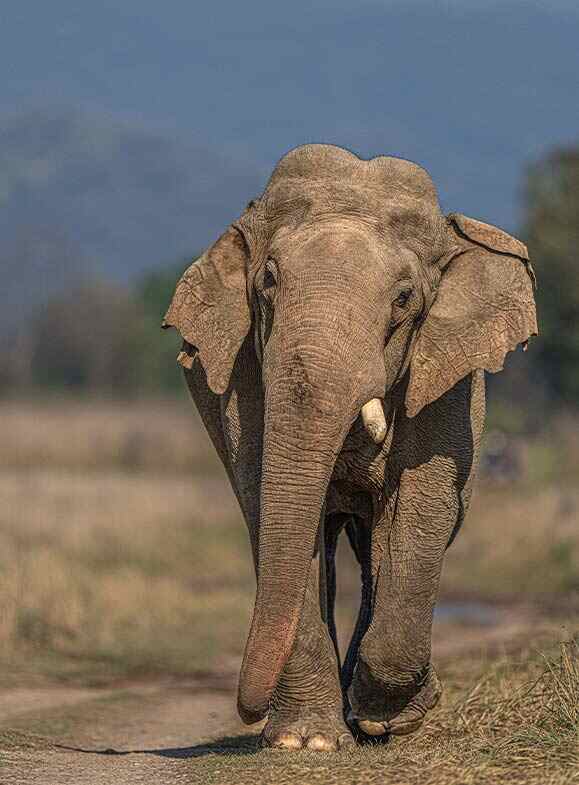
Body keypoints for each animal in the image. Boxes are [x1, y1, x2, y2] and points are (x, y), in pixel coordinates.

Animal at [161, 144, 536, 752]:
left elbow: (423, 507)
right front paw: (305, 742)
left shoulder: (446, 383)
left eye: (404, 298)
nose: (246, 712)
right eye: (268, 281)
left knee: (375, 549)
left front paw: (391, 719)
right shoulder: (242, 377)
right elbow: (265, 502)